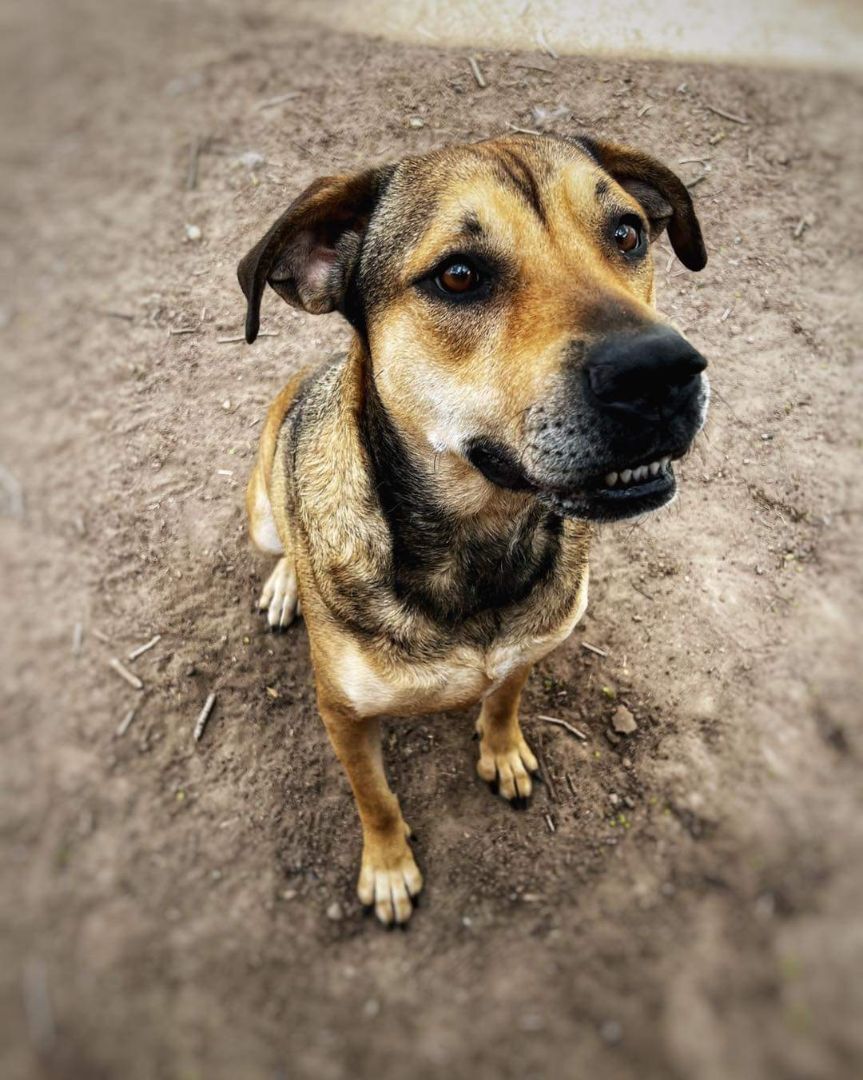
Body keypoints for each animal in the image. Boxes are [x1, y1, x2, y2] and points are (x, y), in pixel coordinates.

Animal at [237, 132, 708, 928]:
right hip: (263, 513)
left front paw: (502, 749)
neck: (481, 543)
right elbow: (375, 798)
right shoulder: (344, 716)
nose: (662, 372)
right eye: (458, 276)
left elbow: (506, 694)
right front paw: (389, 868)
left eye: (626, 234)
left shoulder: (530, 643)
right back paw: (284, 586)